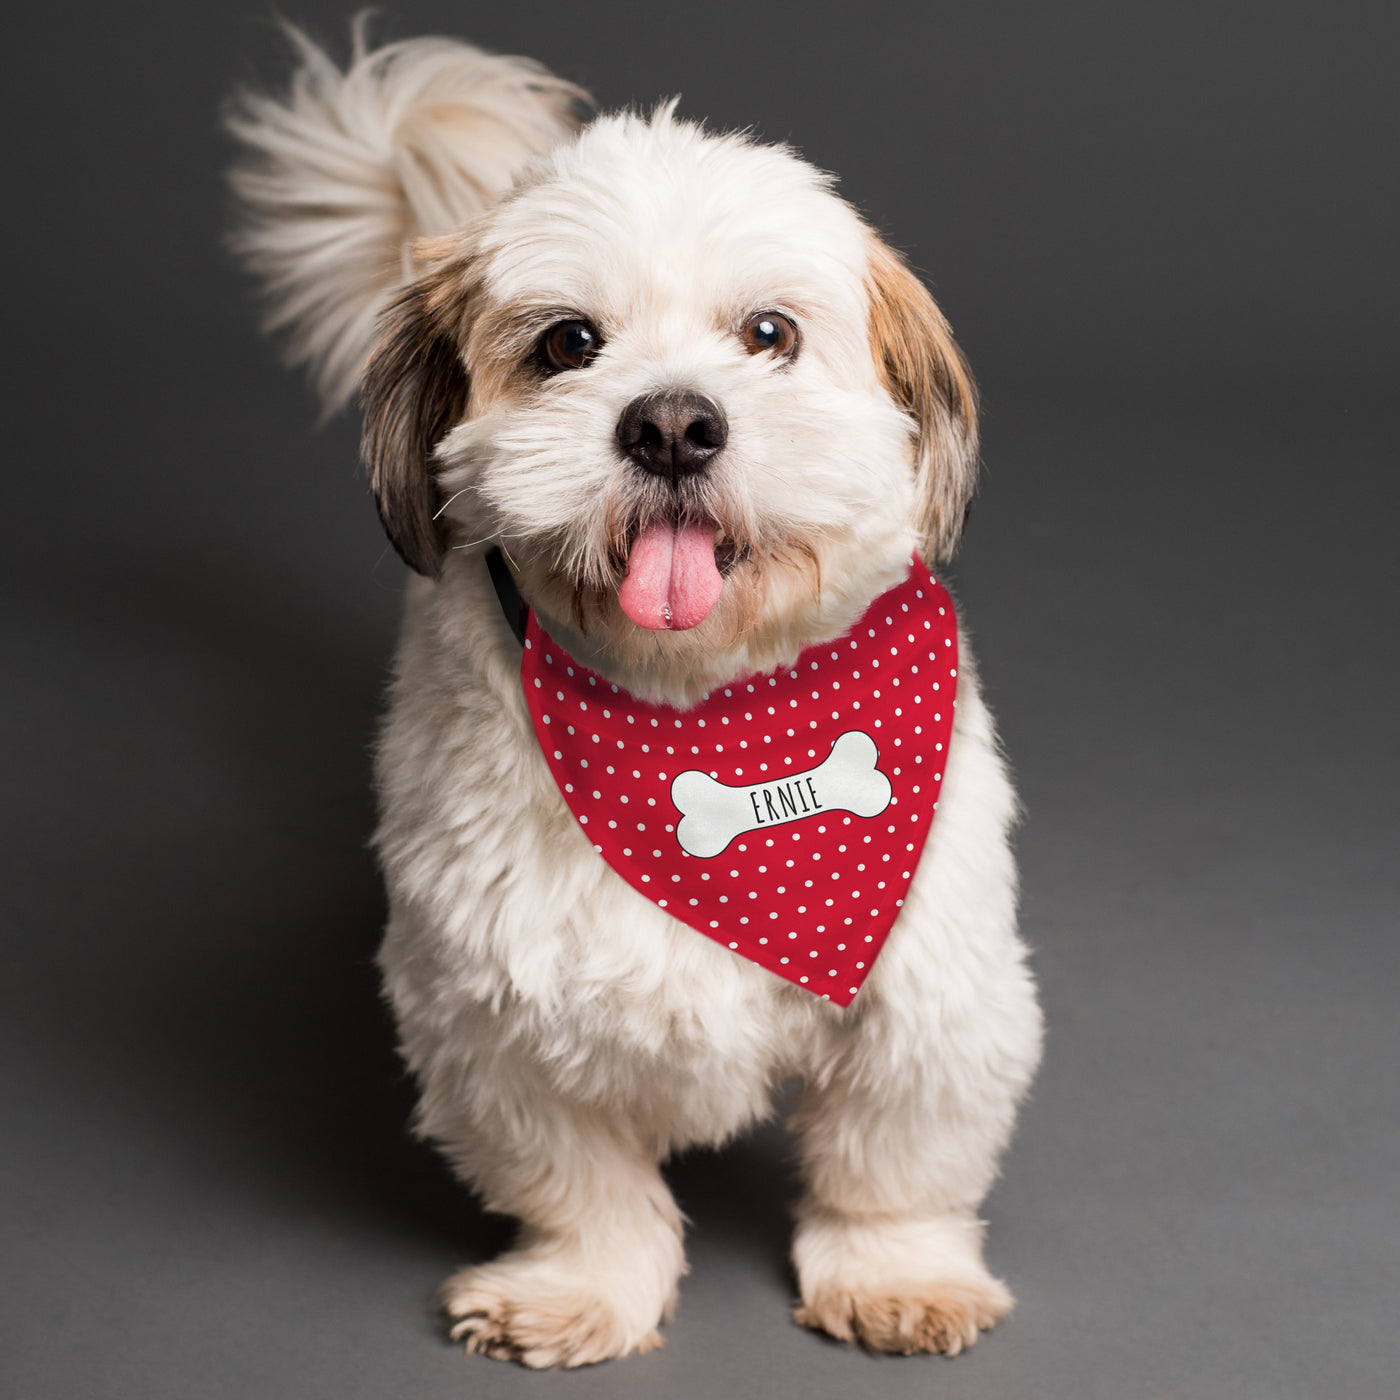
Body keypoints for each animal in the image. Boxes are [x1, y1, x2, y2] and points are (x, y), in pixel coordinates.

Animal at [226, 24, 1041, 1366]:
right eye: (567, 343)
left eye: (767, 332)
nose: (669, 421)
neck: (704, 713)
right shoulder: (489, 1014)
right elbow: (582, 1182)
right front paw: (579, 1285)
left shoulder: (929, 989)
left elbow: (892, 1160)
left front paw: (897, 1270)